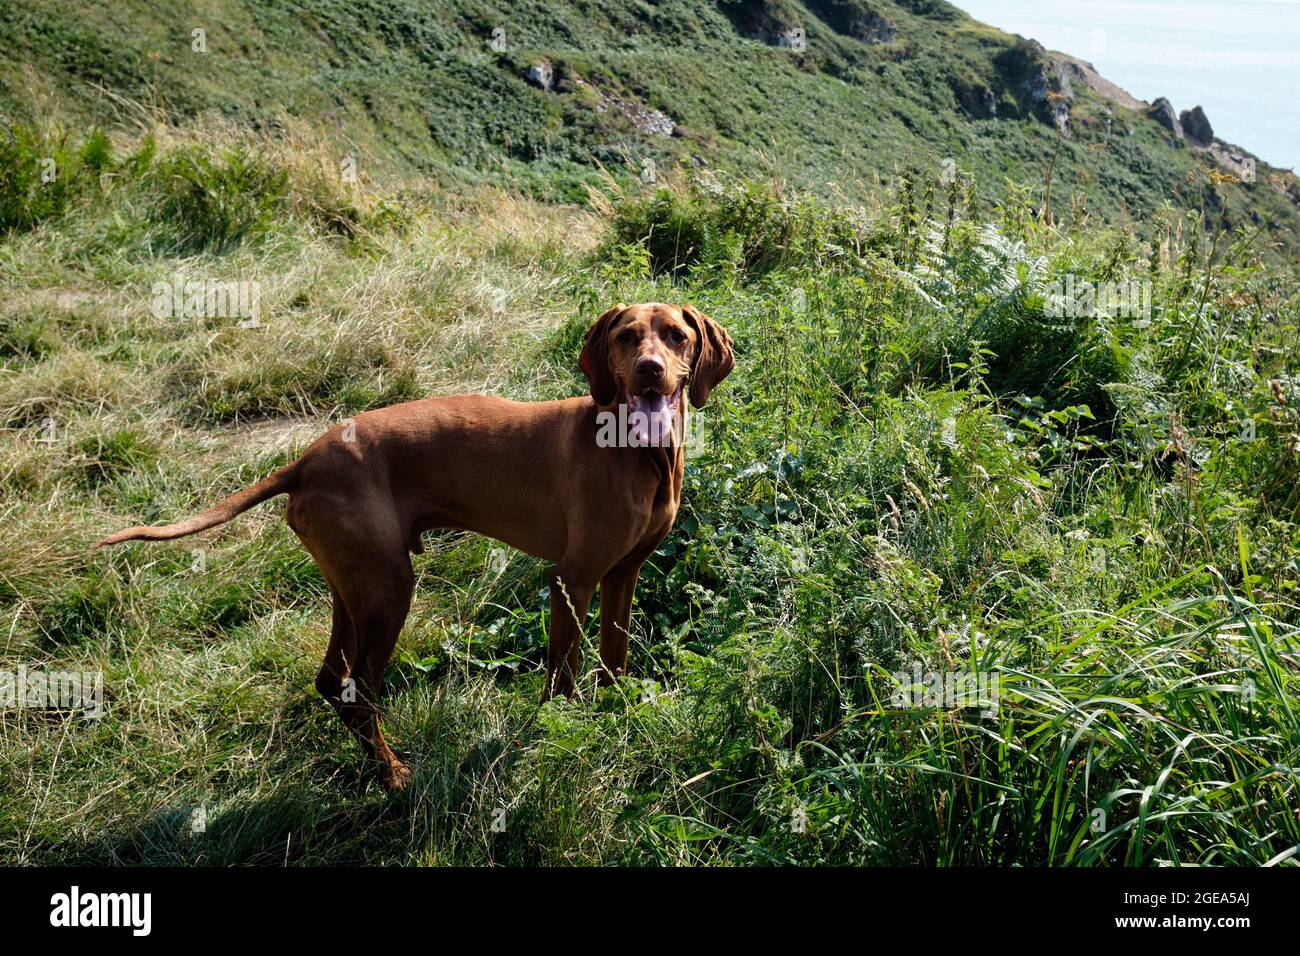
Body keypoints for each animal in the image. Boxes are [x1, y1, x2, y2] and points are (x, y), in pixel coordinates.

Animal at [97, 303, 738, 790]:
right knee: (360, 692)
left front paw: (616, 714)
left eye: (676, 336)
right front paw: (559, 732)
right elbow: (563, 673)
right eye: (626, 337)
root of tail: (305, 460)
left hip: (355, 587)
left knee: (333, 681)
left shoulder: (623, 575)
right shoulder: (571, 578)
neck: (636, 452)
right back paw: (394, 777)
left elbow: (615, 656)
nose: (651, 370)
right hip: (388, 591)